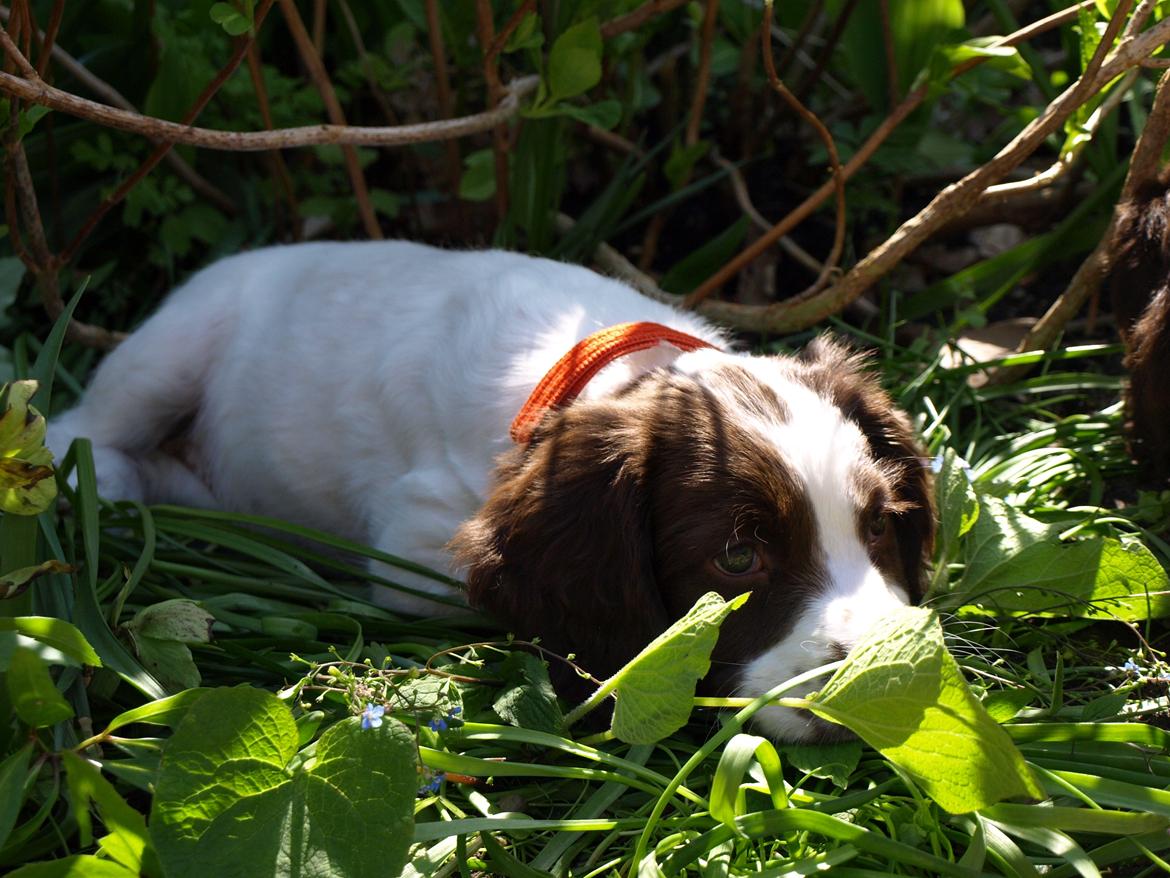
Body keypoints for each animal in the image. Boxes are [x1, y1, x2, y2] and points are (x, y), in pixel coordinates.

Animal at [50, 242, 935, 744]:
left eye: (882, 527)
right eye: (739, 555)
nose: (892, 683)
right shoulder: (414, 548)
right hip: (172, 345)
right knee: (84, 431)